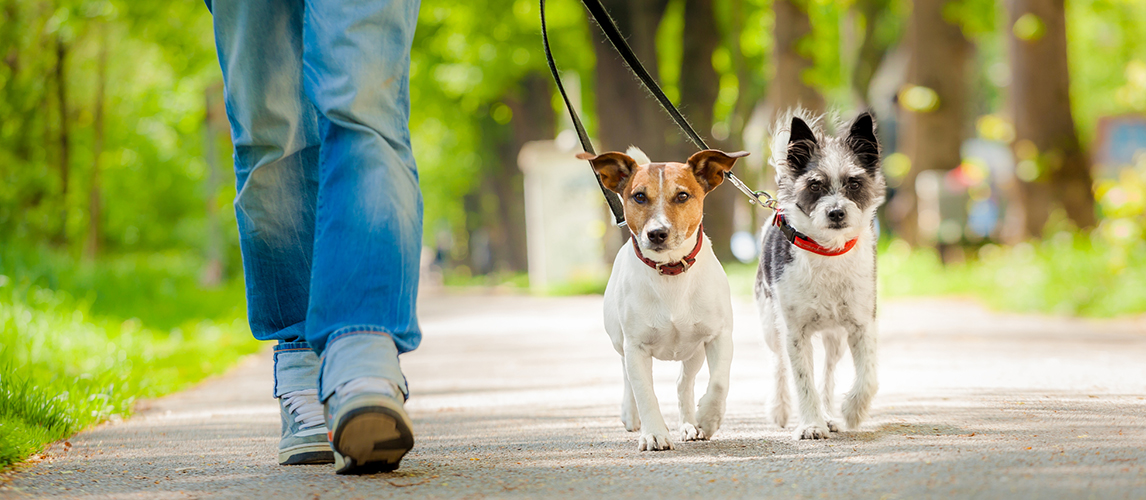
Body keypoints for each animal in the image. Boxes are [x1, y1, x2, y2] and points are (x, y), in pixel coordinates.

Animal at [577, 146, 747, 451]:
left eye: (682, 196)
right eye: (639, 196)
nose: (657, 233)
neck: (670, 270)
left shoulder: (719, 336)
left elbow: (718, 382)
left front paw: (708, 418)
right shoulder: (636, 346)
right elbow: (645, 392)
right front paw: (654, 433)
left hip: (694, 352)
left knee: (683, 383)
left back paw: (690, 424)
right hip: (620, 342)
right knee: (627, 377)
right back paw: (631, 415)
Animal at [756, 110, 889, 440]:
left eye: (854, 183)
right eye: (815, 185)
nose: (836, 212)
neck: (828, 252)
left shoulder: (862, 324)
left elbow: (868, 377)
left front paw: (851, 411)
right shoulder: (794, 332)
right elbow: (803, 380)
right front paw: (811, 425)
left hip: (834, 338)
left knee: (828, 374)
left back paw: (829, 413)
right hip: (770, 323)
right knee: (778, 363)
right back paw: (780, 408)